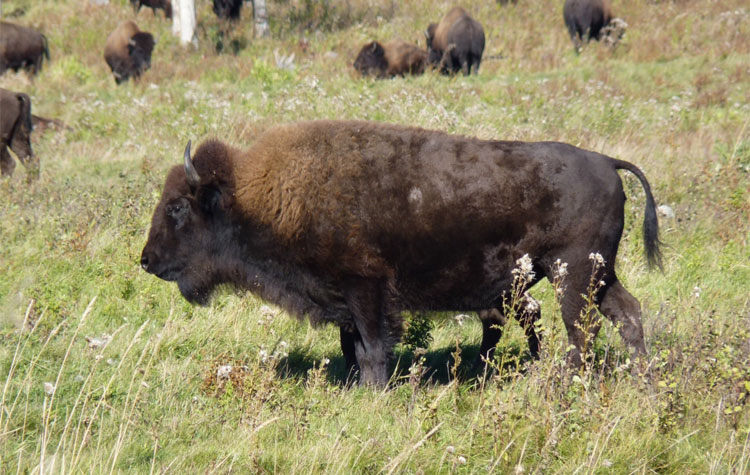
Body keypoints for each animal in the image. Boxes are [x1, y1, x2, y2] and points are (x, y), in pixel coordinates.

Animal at [141, 120, 661, 386]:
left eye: (178, 207)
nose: (146, 260)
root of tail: (606, 162)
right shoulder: (345, 303)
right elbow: (352, 348)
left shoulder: (366, 291)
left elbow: (373, 350)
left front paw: (373, 393)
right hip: (598, 275)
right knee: (628, 315)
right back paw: (644, 380)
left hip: (572, 274)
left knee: (581, 332)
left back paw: (562, 385)